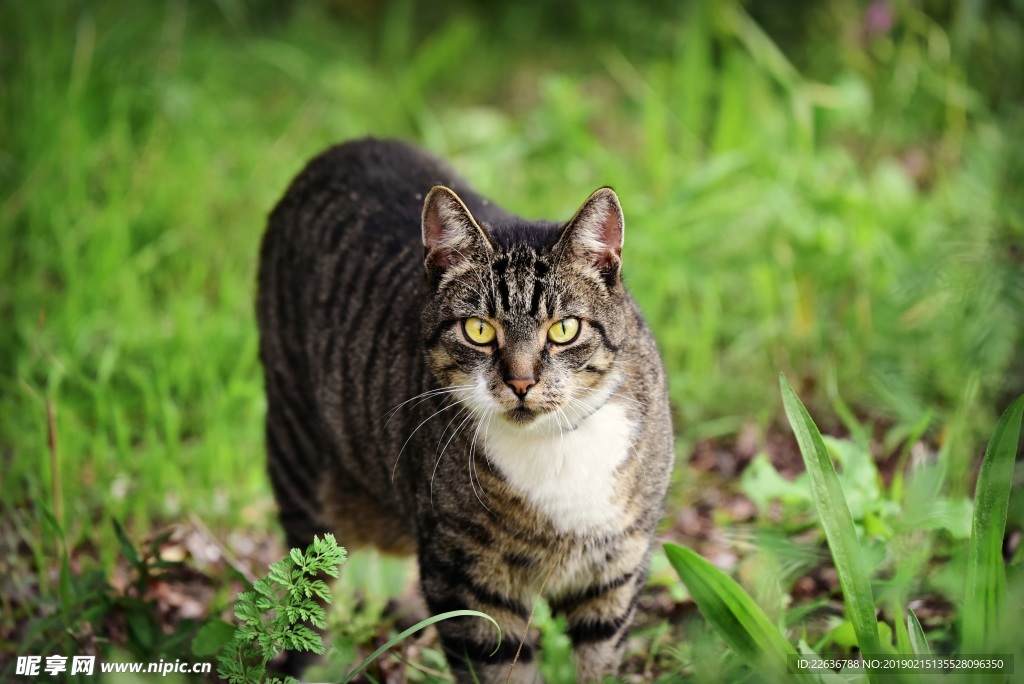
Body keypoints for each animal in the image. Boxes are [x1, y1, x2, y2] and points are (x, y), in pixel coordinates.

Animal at [253, 136, 671, 679]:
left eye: (564, 329)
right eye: (478, 330)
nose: (521, 381)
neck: (552, 448)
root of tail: (343, 148)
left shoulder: (616, 572)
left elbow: (596, 664)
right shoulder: (466, 581)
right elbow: (494, 667)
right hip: (297, 455)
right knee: (306, 594)